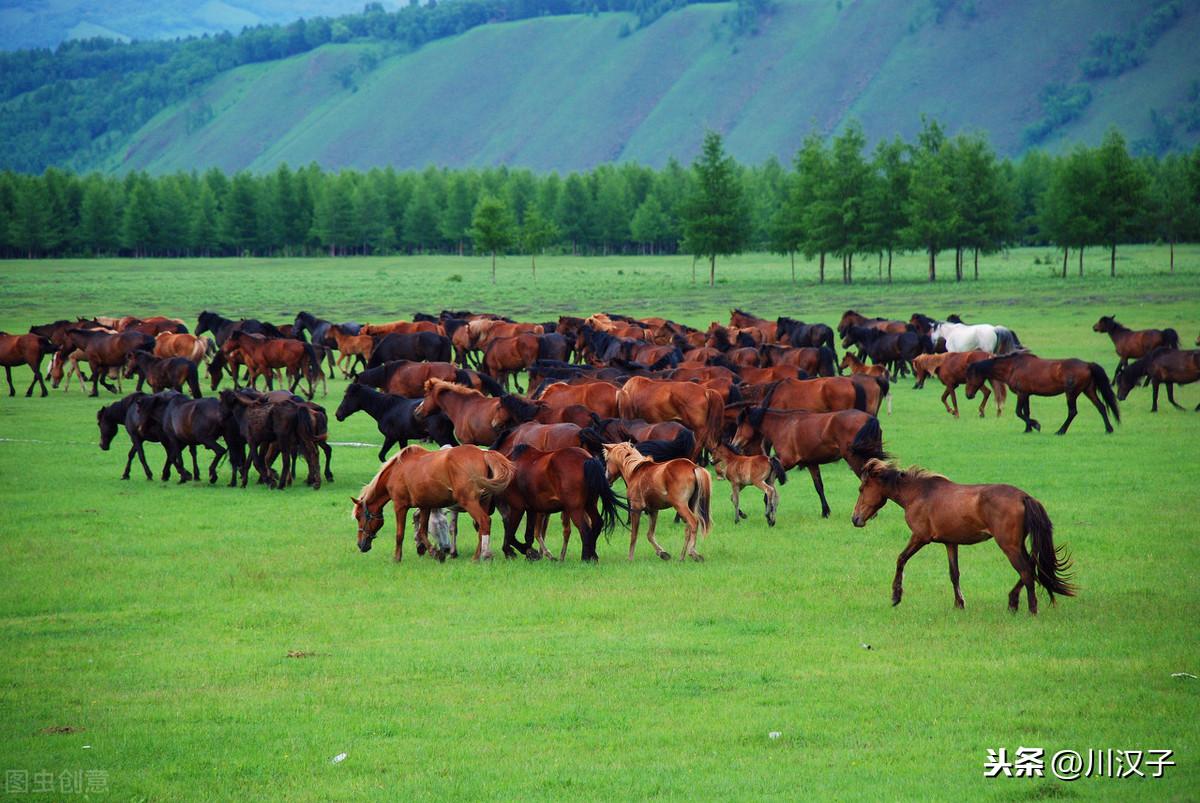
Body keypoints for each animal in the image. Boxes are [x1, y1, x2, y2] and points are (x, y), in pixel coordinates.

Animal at [350, 441, 513, 561]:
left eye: (359, 517)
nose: (360, 544)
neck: (395, 471)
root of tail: (483, 453)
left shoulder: (400, 506)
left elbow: (400, 534)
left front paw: (397, 558)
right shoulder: (425, 506)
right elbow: (422, 531)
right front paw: (435, 552)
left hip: (470, 502)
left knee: (484, 522)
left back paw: (483, 555)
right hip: (483, 502)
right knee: (481, 527)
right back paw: (477, 556)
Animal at [496, 441, 628, 561]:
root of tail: (587, 459)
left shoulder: (517, 507)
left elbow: (510, 534)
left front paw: (517, 551)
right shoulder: (531, 509)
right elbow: (528, 535)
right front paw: (530, 554)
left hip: (575, 509)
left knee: (584, 529)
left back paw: (585, 558)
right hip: (589, 504)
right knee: (596, 523)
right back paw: (592, 556)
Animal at [724, 408, 888, 520]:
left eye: (740, 424)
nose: (733, 445)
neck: (782, 426)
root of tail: (870, 418)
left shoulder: (786, 462)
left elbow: (768, 483)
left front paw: (763, 506)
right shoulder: (811, 463)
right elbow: (819, 487)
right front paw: (825, 512)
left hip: (855, 459)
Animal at [849, 456, 1075, 614]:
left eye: (861, 488)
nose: (855, 519)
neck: (919, 493)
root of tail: (1024, 497)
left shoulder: (920, 537)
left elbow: (901, 559)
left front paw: (896, 596)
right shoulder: (950, 543)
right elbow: (954, 573)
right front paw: (959, 603)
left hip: (1009, 546)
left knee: (1027, 571)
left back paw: (1031, 609)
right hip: (1017, 545)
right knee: (1032, 567)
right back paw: (1013, 601)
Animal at [960, 352, 1118, 434]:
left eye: (969, 376)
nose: (968, 395)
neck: (1013, 367)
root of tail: (1087, 364)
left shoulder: (1021, 393)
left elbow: (1019, 412)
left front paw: (1036, 425)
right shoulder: (1027, 394)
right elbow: (1026, 412)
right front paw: (1028, 429)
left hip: (1071, 393)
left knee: (1073, 411)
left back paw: (1061, 431)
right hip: (1088, 390)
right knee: (1101, 407)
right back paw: (1109, 429)